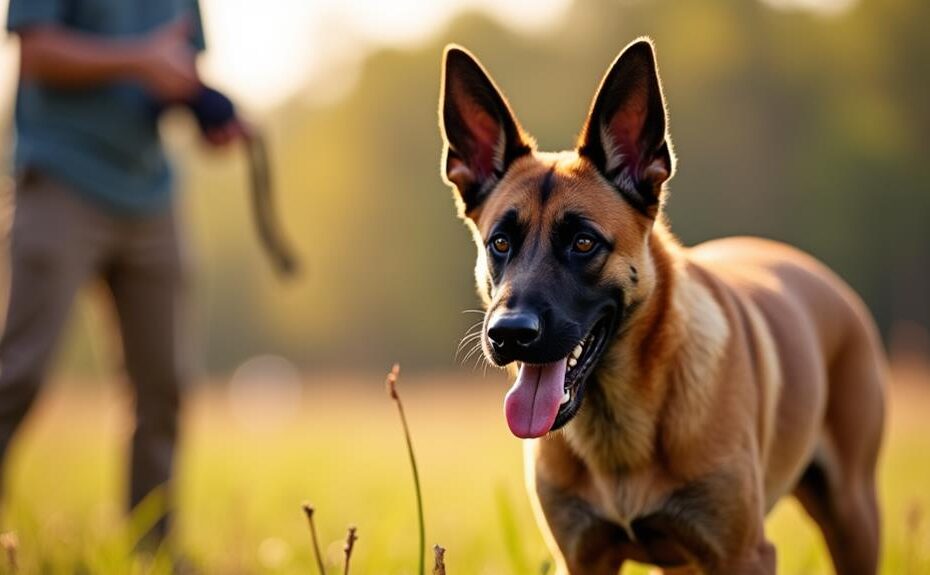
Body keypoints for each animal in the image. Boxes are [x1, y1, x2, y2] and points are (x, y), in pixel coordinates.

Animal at [436, 38, 884, 572]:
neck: (619, 432)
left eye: (584, 243)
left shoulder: (743, 554)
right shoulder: (582, 558)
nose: (508, 334)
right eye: (500, 243)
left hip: (852, 515)